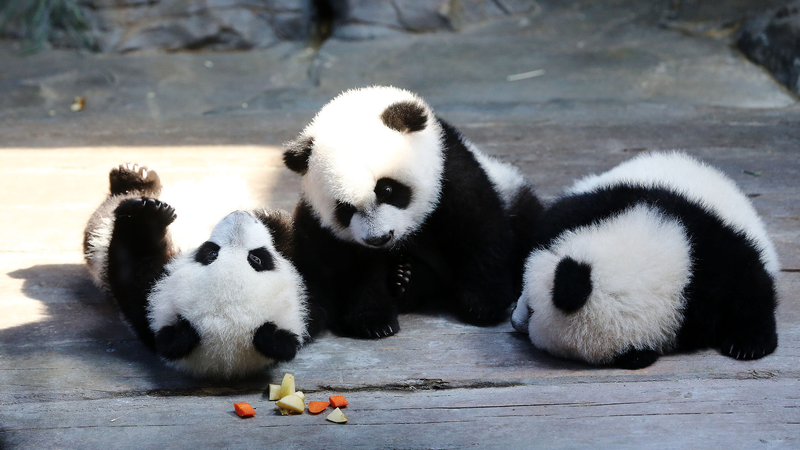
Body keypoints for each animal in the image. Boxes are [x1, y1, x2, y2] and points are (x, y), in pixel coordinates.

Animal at [282, 86, 543, 339]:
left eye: (386, 189)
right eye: (345, 208)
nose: (379, 238)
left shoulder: (448, 169)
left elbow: (477, 224)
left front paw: (484, 304)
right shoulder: (322, 227)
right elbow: (352, 267)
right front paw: (374, 320)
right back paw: (402, 278)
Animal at [511, 151, 780, 369]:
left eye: (533, 311)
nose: (515, 322)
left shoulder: (710, 255)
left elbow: (748, 284)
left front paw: (748, 344)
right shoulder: (609, 203)